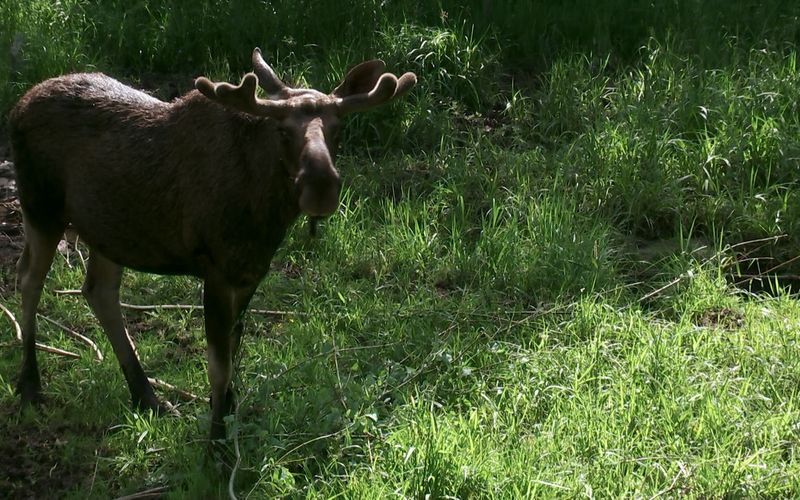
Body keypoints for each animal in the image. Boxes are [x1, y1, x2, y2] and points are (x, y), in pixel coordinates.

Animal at [9, 47, 416, 438]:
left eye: (336, 128)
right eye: (282, 130)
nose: (321, 186)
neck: (264, 215)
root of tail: (18, 105)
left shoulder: (250, 272)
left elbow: (234, 355)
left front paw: (230, 418)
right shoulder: (216, 269)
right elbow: (218, 367)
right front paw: (217, 442)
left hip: (108, 230)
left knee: (98, 290)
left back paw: (147, 396)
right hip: (40, 207)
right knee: (28, 279)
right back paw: (29, 385)